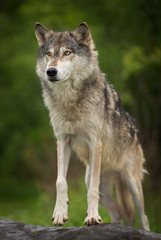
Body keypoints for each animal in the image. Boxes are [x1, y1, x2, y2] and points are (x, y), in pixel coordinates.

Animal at [35, 22, 150, 231]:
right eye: (49, 53)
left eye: (67, 52)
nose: (51, 71)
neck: (70, 100)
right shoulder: (63, 141)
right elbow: (60, 182)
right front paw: (60, 214)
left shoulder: (95, 143)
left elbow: (91, 192)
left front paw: (92, 217)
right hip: (90, 178)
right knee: (119, 212)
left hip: (132, 183)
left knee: (143, 218)